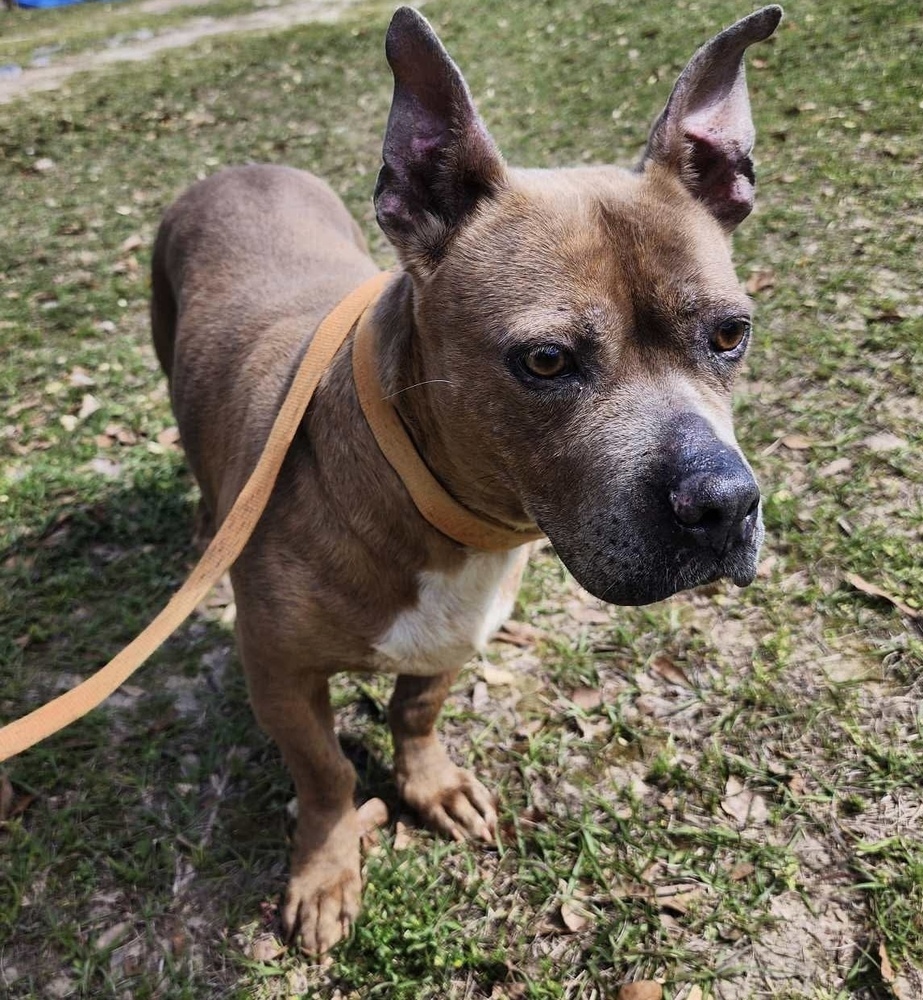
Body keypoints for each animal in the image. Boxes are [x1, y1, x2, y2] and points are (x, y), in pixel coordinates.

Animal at [152, 3, 780, 952]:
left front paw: (430, 786)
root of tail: (240, 167)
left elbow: (413, 714)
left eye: (730, 335)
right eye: (546, 360)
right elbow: (327, 773)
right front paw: (327, 870)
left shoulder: (449, 638)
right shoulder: (278, 675)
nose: (723, 504)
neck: (442, 513)